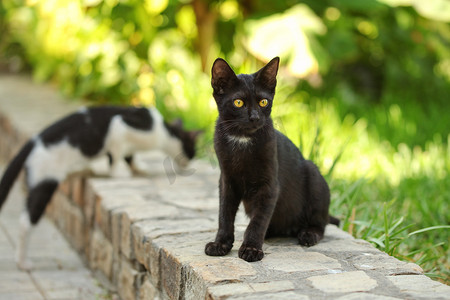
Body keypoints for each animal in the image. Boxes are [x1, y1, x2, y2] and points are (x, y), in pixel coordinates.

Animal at [0, 105, 200, 270]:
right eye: (193, 150)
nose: (191, 161)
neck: (162, 129)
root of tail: (34, 140)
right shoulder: (119, 126)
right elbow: (117, 155)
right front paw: (119, 173)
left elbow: (129, 156)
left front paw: (139, 167)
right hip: (45, 181)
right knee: (25, 221)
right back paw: (22, 262)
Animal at [204, 57, 338, 262]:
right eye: (238, 102)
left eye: (263, 101)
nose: (254, 117)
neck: (242, 140)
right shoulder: (227, 180)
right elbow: (224, 214)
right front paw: (221, 244)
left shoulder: (269, 185)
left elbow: (259, 220)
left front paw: (251, 248)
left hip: (314, 175)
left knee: (320, 223)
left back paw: (308, 234)